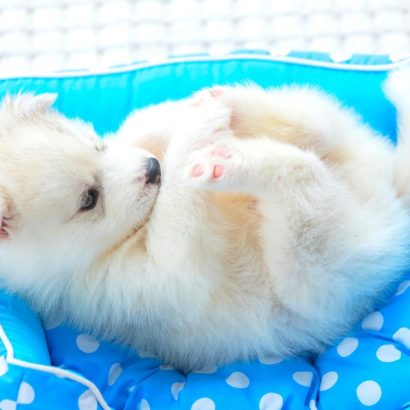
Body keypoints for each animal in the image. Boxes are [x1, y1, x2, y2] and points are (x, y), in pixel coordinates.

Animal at [0, 73, 408, 372]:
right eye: (89, 199)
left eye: (97, 146)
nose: (153, 169)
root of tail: (391, 191)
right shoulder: (146, 280)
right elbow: (176, 213)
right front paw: (191, 140)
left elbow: (139, 127)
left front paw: (177, 119)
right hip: (316, 265)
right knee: (300, 168)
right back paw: (227, 159)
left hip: (335, 141)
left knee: (314, 123)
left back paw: (228, 102)